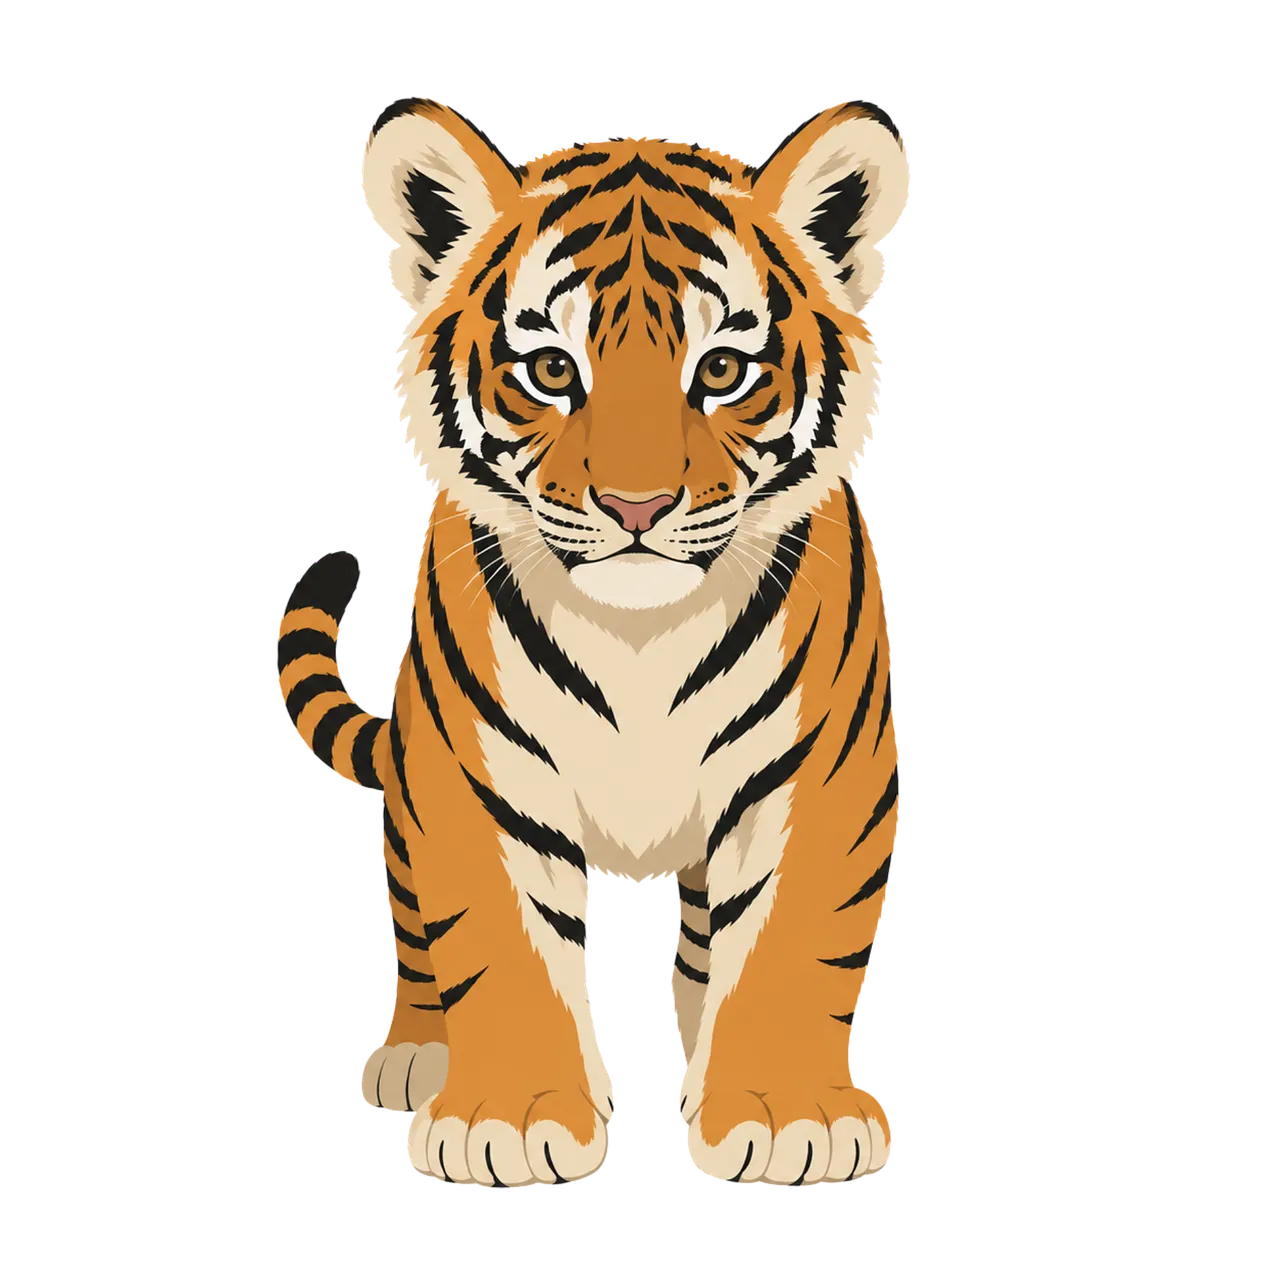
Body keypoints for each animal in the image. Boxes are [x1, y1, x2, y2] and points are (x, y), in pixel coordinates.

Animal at [274, 96, 909, 1188]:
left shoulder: (819, 772)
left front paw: (783, 1116)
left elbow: (787, 938)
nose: (636, 504)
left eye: (722, 370)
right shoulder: (470, 776)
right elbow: (500, 940)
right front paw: (510, 1120)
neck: (639, 635)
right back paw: (416, 1053)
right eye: (551, 371)